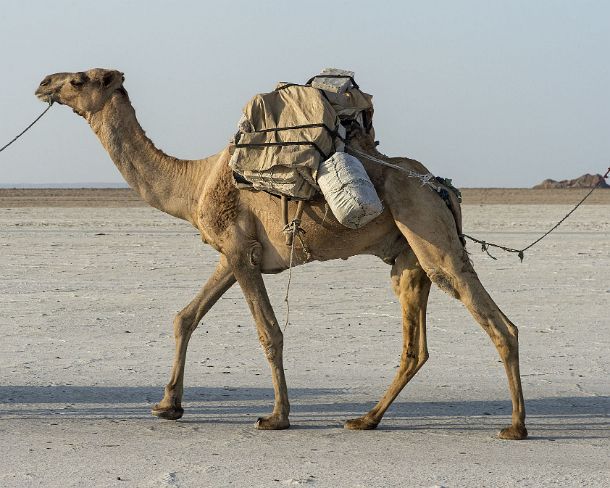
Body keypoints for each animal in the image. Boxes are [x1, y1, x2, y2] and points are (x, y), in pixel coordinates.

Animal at [35, 67, 524, 438]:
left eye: (79, 79)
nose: (43, 83)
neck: (194, 183)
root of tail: (441, 187)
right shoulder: (235, 254)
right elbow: (185, 316)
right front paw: (167, 404)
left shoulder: (237, 250)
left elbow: (269, 332)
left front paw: (276, 417)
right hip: (408, 259)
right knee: (415, 347)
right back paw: (365, 419)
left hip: (430, 235)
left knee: (499, 323)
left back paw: (515, 426)